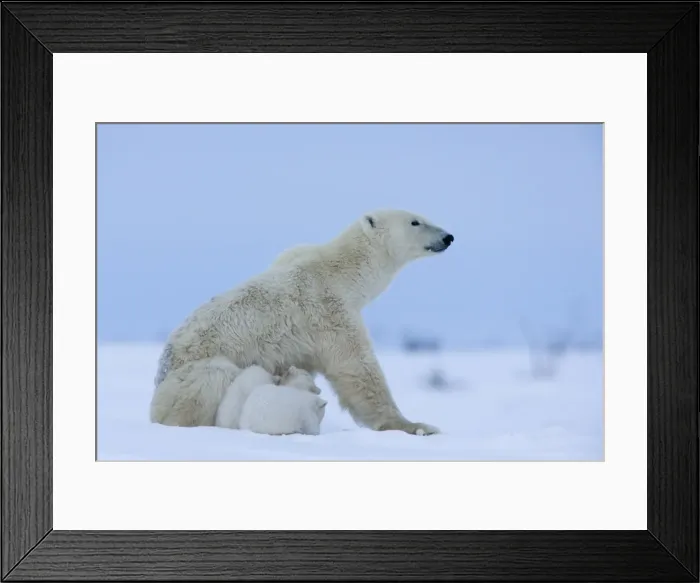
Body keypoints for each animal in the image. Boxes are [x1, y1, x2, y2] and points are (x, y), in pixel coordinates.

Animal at [149, 208, 454, 436]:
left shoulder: (291, 255)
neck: (342, 272)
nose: (448, 237)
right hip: (188, 375)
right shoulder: (329, 311)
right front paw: (417, 426)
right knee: (212, 377)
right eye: (415, 221)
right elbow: (357, 368)